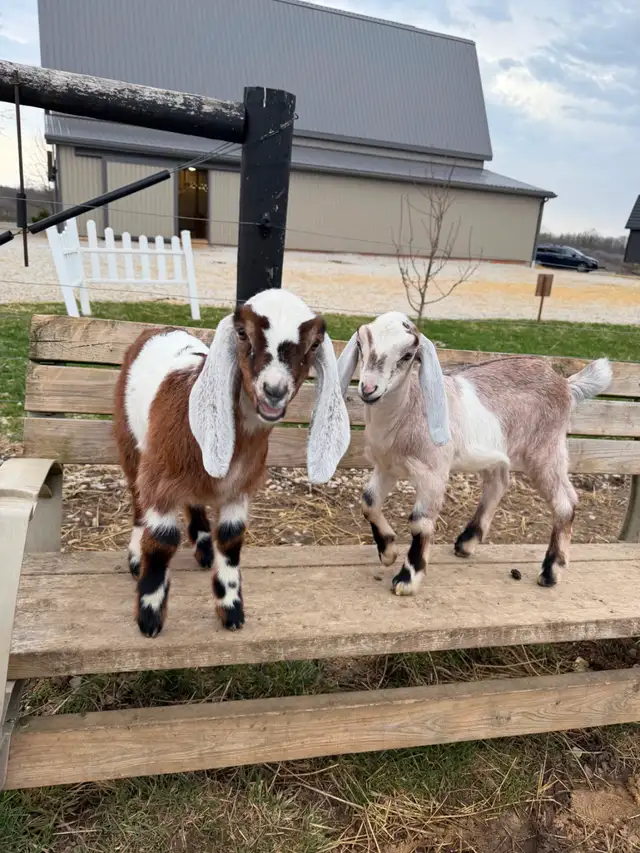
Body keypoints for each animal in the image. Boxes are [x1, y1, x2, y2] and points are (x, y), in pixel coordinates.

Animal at [113, 289, 350, 637]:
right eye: (242, 333)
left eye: (315, 343)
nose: (274, 390)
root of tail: (156, 329)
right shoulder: (160, 478)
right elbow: (162, 541)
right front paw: (150, 617)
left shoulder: (240, 488)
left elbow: (231, 539)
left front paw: (231, 609)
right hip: (130, 441)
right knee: (137, 500)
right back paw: (135, 558)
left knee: (194, 501)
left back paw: (203, 547)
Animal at [337, 311, 612, 594]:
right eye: (360, 344)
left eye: (407, 354)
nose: (369, 389)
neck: (408, 409)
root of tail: (565, 384)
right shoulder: (386, 466)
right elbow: (368, 502)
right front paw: (388, 551)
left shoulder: (433, 472)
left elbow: (420, 522)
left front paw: (408, 578)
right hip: (501, 453)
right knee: (498, 484)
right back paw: (467, 541)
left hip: (545, 447)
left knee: (564, 501)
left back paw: (550, 571)